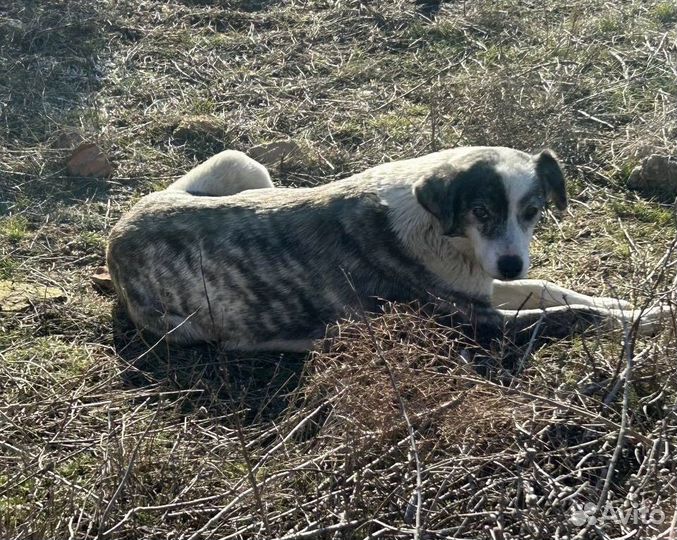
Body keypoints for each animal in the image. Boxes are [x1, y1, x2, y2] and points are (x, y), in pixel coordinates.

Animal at [105, 148, 664, 352]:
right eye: (480, 210)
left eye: (532, 211)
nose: (509, 263)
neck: (439, 232)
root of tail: (116, 236)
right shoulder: (480, 322)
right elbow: (572, 315)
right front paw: (647, 318)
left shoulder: (483, 285)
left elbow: (554, 289)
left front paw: (634, 303)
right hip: (190, 328)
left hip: (242, 165)